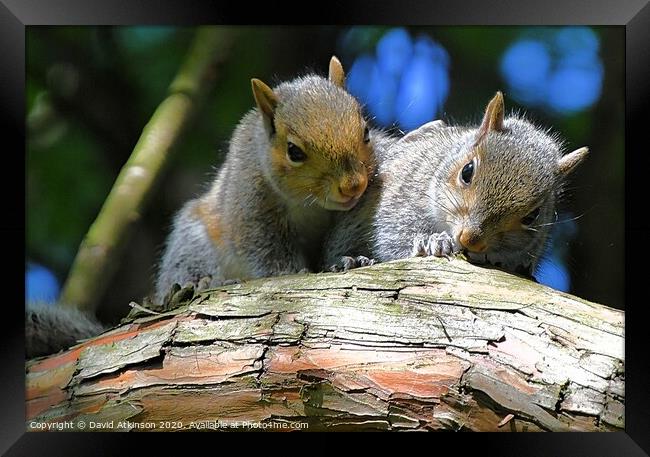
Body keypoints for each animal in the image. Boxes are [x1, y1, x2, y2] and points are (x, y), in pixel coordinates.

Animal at [153, 56, 388, 302]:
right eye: (294, 151)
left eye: (366, 132)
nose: (353, 186)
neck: (311, 206)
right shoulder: (251, 207)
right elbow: (266, 252)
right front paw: (292, 272)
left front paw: (352, 260)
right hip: (193, 241)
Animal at [324, 91, 588, 276]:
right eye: (467, 172)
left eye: (532, 216)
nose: (470, 239)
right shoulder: (399, 201)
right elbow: (394, 240)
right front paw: (433, 242)